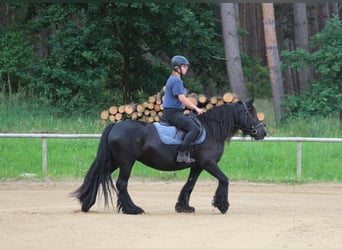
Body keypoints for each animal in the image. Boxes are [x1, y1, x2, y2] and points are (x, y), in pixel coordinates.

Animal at [71, 99, 264, 215]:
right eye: (251, 112)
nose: (263, 132)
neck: (211, 130)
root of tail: (116, 125)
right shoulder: (208, 163)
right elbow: (224, 179)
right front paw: (222, 205)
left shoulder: (197, 166)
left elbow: (190, 185)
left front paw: (183, 206)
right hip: (126, 162)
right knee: (121, 184)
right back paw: (132, 209)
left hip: (114, 161)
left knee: (98, 176)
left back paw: (87, 203)